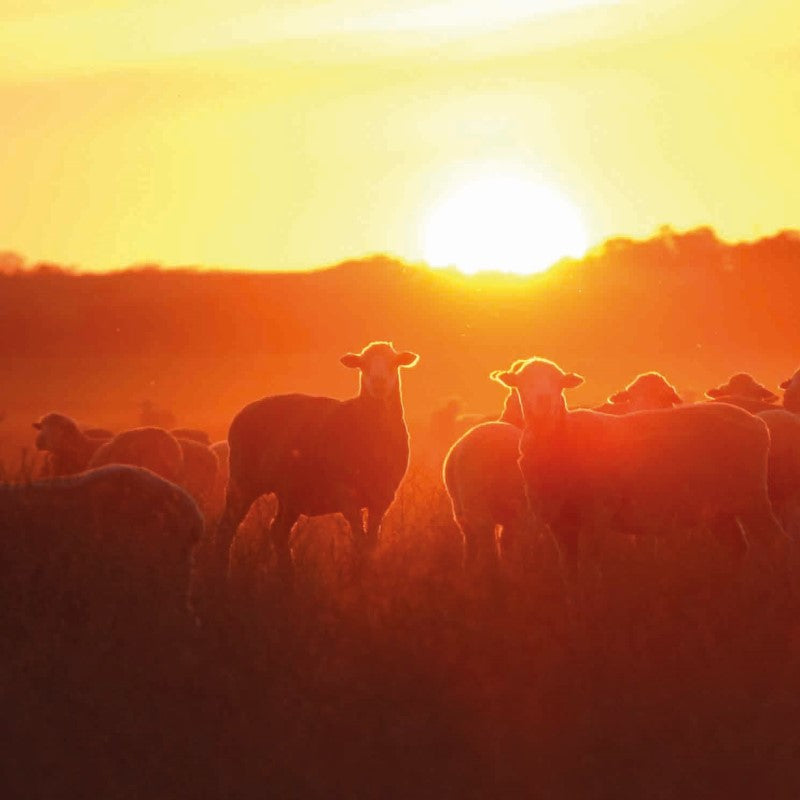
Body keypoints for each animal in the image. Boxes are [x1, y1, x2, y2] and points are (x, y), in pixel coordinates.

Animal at [215, 341, 419, 583]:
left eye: (394, 362)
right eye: (363, 364)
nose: (378, 382)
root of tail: (243, 412)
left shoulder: (383, 498)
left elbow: (371, 544)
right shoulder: (346, 494)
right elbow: (360, 541)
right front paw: (358, 581)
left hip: (291, 493)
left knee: (278, 531)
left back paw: (287, 578)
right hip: (242, 481)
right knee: (226, 529)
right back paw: (222, 575)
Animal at [493, 358, 784, 573]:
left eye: (559, 383)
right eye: (522, 382)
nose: (543, 400)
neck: (565, 437)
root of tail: (759, 424)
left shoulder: (598, 514)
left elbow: (589, 566)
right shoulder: (558, 522)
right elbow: (570, 572)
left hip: (752, 499)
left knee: (775, 541)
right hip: (719, 510)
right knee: (738, 547)